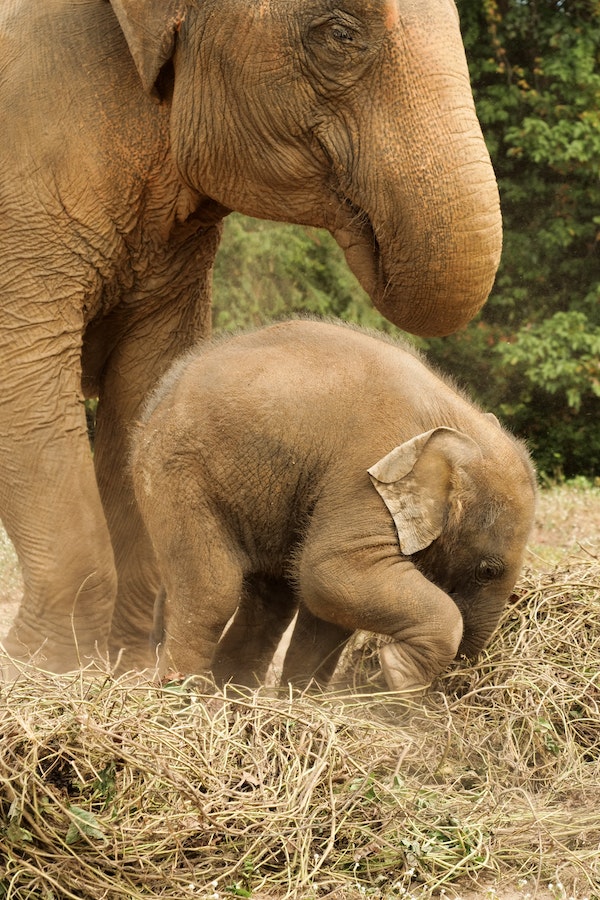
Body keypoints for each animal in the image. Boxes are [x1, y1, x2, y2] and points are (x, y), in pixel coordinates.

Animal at [131, 320, 536, 692]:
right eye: (487, 570)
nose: (456, 685)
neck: (455, 421)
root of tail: (156, 403)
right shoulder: (363, 472)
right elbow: (329, 571)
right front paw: (398, 674)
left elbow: (329, 608)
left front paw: (304, 699)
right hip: (178, 471)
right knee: (213, 592)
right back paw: (187, 699)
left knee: (272, 603)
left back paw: (236, 698)